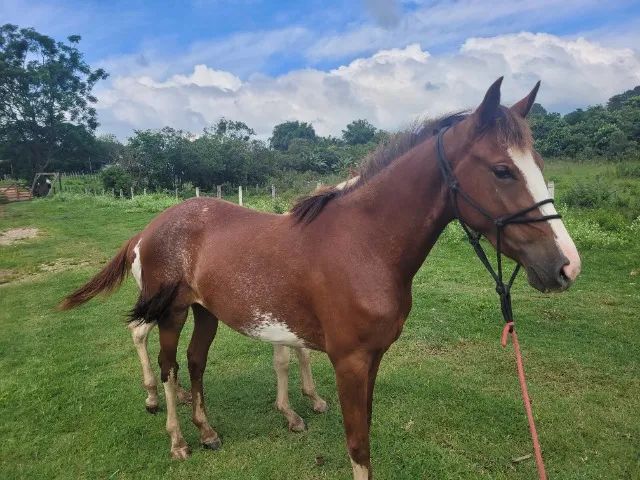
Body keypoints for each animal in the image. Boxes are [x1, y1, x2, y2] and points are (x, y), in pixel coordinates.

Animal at [61, 79, 580, 480]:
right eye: (502, 170)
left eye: (538, 166)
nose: (566, 266)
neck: (363, 245)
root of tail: (150, 228)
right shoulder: (348, 361)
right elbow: (357, 445)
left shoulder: (371, 359)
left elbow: (360, 427)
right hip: (170, 311)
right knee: (167, 366)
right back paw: (177, 440)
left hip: (205, 313)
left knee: (194, 362)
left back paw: (207, 432)